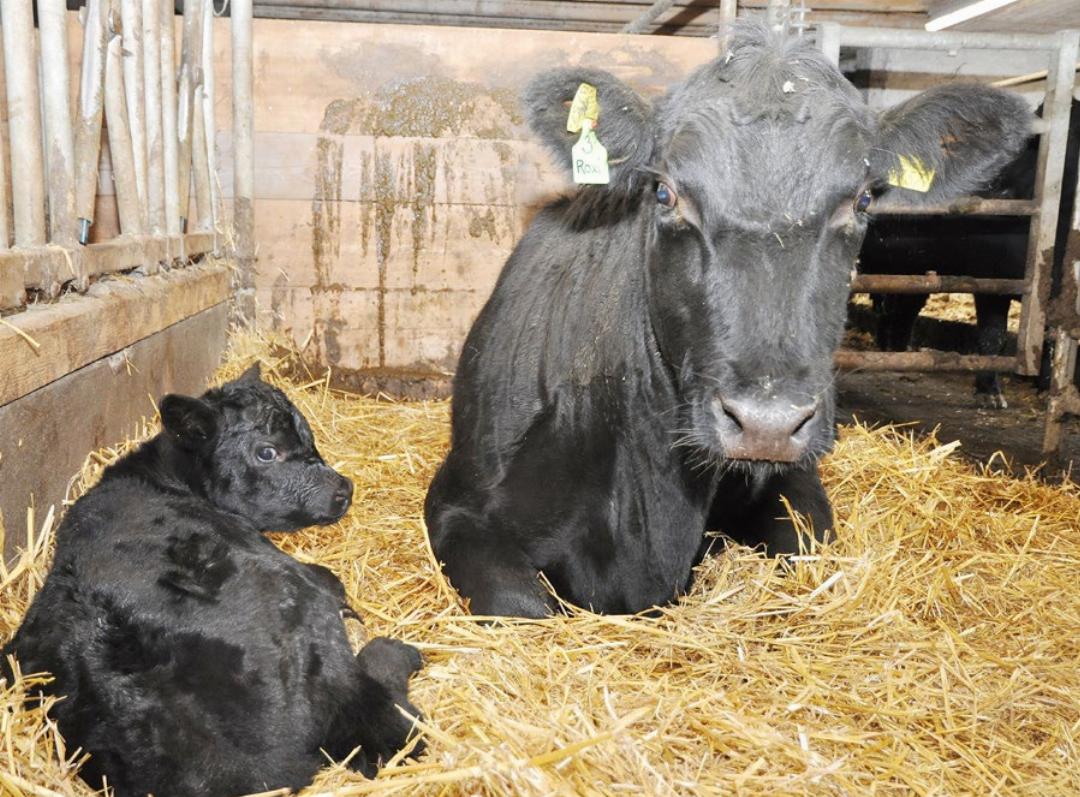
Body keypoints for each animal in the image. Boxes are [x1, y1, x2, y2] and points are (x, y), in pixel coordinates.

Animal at [2, 366, 424, 797]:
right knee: (391, 729)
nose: (343, 490)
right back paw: (393, 652)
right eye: (266, 451)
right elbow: (332, 578)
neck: (164, 476)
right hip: (300, 602)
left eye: (309, 437)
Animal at [423, 24, 1033, 619]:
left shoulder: (793, 480)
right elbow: (522, 605)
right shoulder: (457, 504)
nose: (768, 424)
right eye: (665, 193)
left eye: (862, 201)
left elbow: (807, 555)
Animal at [862, 98, 1080, 408]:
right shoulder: (991, 277)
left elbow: (1050, 338)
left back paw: (897, 353)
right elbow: (994, 336)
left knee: (901, 308)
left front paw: (1046, 388)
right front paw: (990, 395)